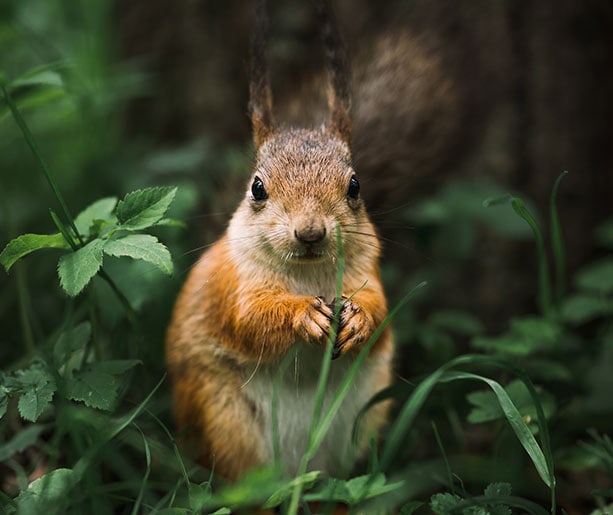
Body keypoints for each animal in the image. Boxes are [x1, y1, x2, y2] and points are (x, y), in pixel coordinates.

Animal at [165, 1, 390, 484]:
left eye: (355, 186)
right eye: (257, 188)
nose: (310, 232)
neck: (307, 275)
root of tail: (300, 469)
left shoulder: (368, 270)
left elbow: (380, 305)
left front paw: (359, 319)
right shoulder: (232, 286)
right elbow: (250, 319)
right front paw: (303, 315)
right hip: (223, 417)